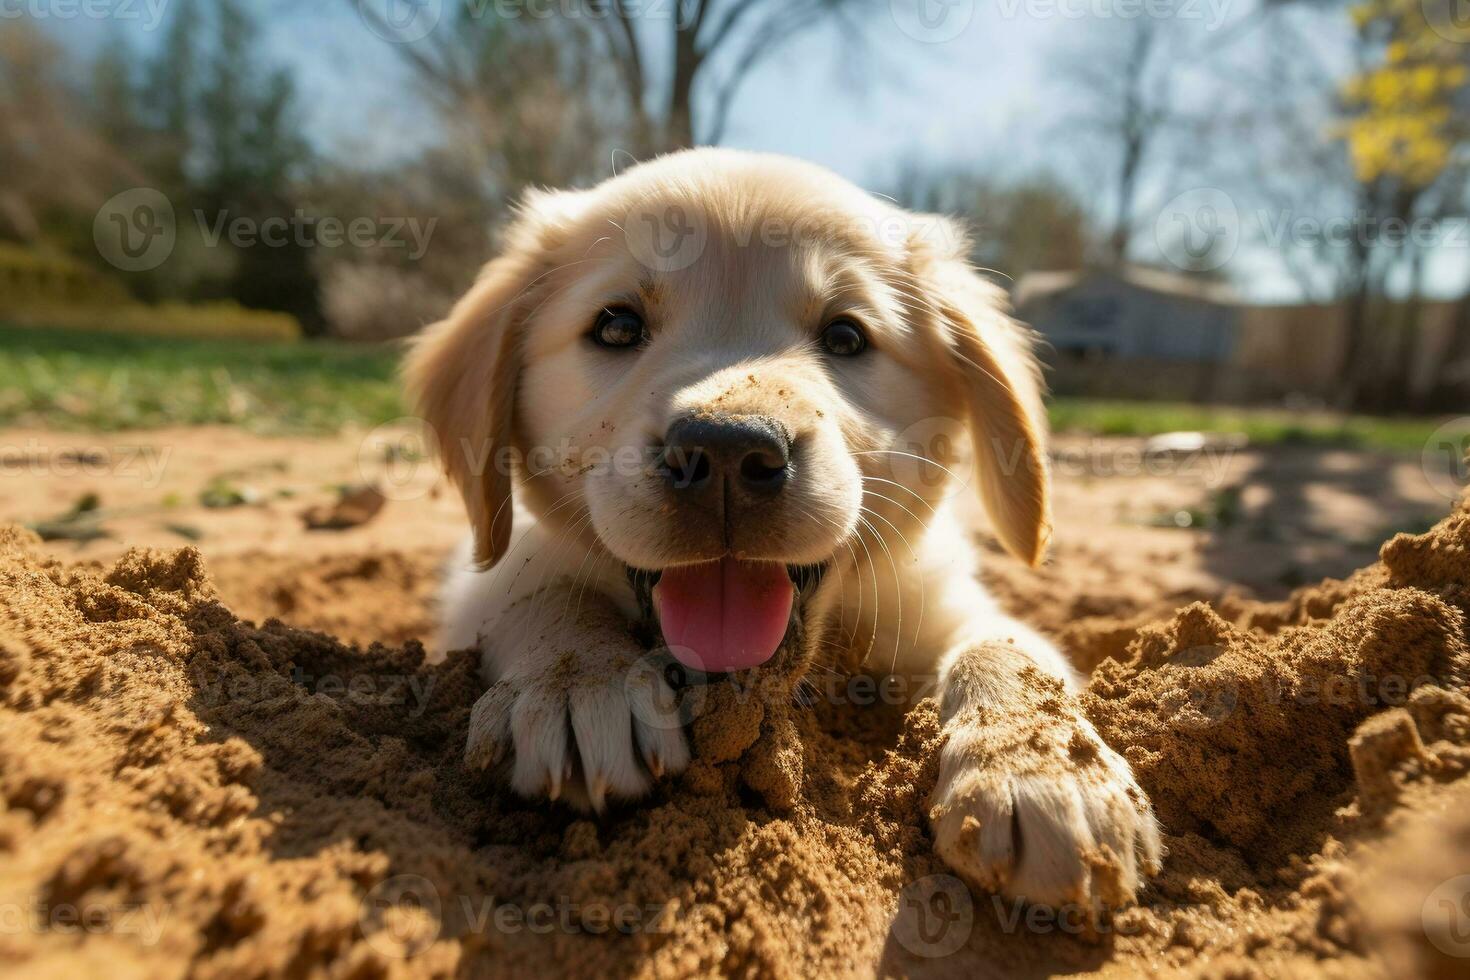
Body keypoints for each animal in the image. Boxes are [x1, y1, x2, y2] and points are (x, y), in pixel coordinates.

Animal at [402, 147, 1158, 910]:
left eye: (847, 336)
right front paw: (580, 684)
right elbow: (543, 598)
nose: (727, 452)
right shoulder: (487, 577)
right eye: (616, 327)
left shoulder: (944, 599)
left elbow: (1003, 649)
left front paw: (1043, 773)